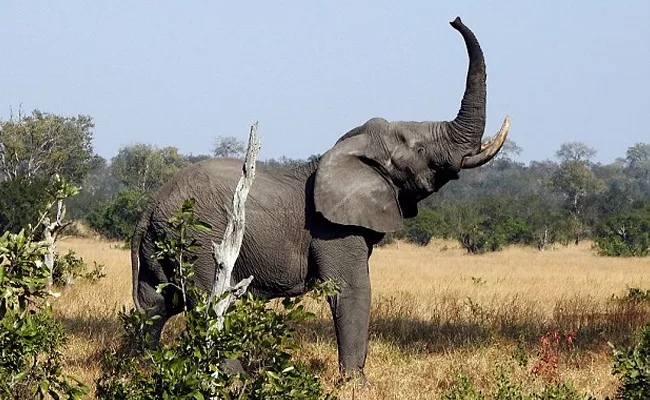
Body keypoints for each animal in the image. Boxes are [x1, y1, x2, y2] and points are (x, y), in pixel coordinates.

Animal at [130, 17, 506, 382]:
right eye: (420, 150)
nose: (454, 20)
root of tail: (150, 206)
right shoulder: (333, 229)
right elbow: (351, 289)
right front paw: (357, 384)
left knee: (154, 305)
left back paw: (143, 368)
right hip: (200, 238)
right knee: (209, 301)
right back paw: (236, 378)